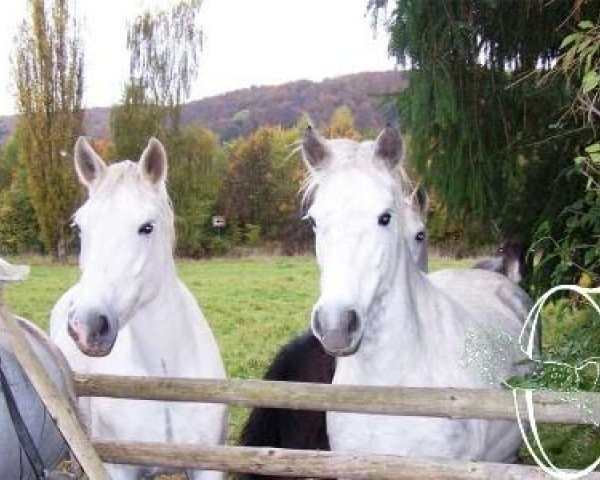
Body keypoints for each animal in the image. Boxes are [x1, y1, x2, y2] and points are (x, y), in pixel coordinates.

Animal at [49, 137, 226, 478]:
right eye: (79, 227)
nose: (87, 326)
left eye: (147, 227)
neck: (164, 379)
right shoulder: (118, 467)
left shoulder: (208, 466)